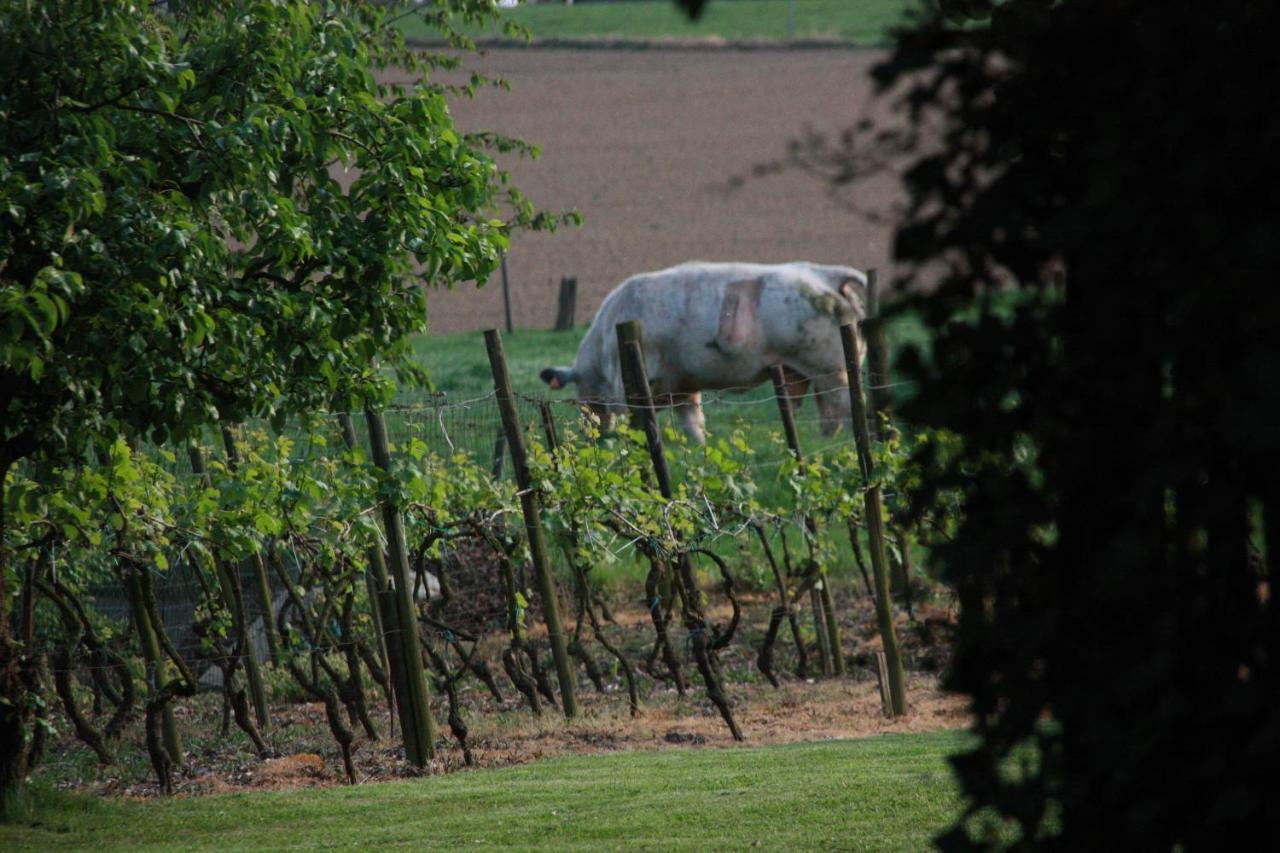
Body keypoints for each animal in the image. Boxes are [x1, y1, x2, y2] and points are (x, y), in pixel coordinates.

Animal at [540, 262, 870, 440]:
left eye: (580, 394)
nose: (590, 435)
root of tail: (823, 273)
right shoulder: (684, 386)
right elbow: (692, 423)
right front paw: (699, 446)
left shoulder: (630, 386)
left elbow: (637, 421)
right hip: (816, 371)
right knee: (828, 411)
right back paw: (822, 440)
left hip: (831, 368)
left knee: (844, 405)